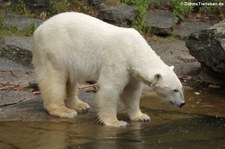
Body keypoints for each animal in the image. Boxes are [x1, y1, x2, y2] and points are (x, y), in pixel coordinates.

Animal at [33, 12, 185, 127]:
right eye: (174, 90)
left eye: (181, 88)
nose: (183, 103)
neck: (134, 49)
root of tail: (38, 29)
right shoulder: (118, 60)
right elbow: (110, 89)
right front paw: (116, 122)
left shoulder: (132, 72)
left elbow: (132, 92)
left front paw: (142, 116)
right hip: (56, 48)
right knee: (54, 78)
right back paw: (64, 110)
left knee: (71, 78)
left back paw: (80, 105)